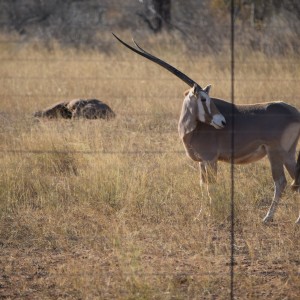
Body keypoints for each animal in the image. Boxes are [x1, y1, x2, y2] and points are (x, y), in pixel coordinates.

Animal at [113, 34, 300, 224]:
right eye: (203, 99)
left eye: (208, 98)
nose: (222, 122)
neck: (193, 128)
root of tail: (294, 112)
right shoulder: (202, 162)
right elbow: (203, 185)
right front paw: (201, 214)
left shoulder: (211, 159)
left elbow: (212, 186)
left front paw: (213, 214)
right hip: (288, 154)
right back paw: (295, 220)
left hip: (275, 152)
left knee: (280, 181)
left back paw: (267, 218)